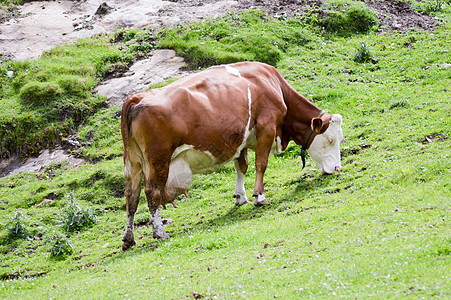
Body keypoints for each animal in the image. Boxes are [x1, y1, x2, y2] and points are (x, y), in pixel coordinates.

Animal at [120, 61, 342, 251]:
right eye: (331, 139)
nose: (337, 168)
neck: (273, 85)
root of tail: (137, 98)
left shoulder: (241, 137)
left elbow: (241, 166)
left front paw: (240, 196)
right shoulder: (267, 127)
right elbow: (261, 164)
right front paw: (259, 196)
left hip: (133, 162)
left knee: (132, 195)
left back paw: (129, 239)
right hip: (158, 159)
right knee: (152, 192)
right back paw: (160, 232)